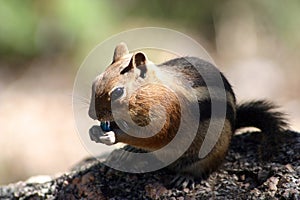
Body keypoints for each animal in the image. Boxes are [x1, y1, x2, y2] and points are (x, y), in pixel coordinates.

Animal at [88, 43, 288, 187]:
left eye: (118, 92)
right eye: (95, 82)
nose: (91, 114)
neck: (151, 91)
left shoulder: (167, 114)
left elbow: (154, 136)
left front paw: (112, 136)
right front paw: (95, 131)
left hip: (213, 148)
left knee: (203, 165)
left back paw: (186, 176)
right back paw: (130, 152)